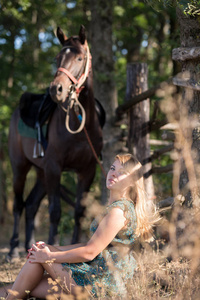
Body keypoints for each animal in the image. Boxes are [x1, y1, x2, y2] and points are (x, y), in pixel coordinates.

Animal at [7, 25, 104, 258]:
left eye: (80, 58)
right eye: (57, 58)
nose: (56, 90)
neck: (81, 127)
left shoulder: (87, 170)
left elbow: (79, 211)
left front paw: (75, 244)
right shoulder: (54, 167)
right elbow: (55, 211)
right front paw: (51, 245)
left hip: (41, 173)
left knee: (31, 205)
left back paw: (28, 245)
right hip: (20, 168)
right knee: (18, 205)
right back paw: (13, 249)